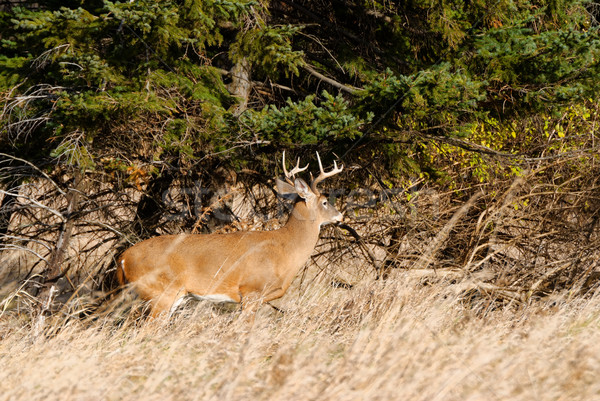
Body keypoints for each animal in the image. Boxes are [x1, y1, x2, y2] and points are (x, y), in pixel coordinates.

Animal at [116, 152, 342, 318]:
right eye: (324, 202)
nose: (340, 216)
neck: (284, 248)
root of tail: (123, 258)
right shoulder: (251, 291)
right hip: (161, 293)